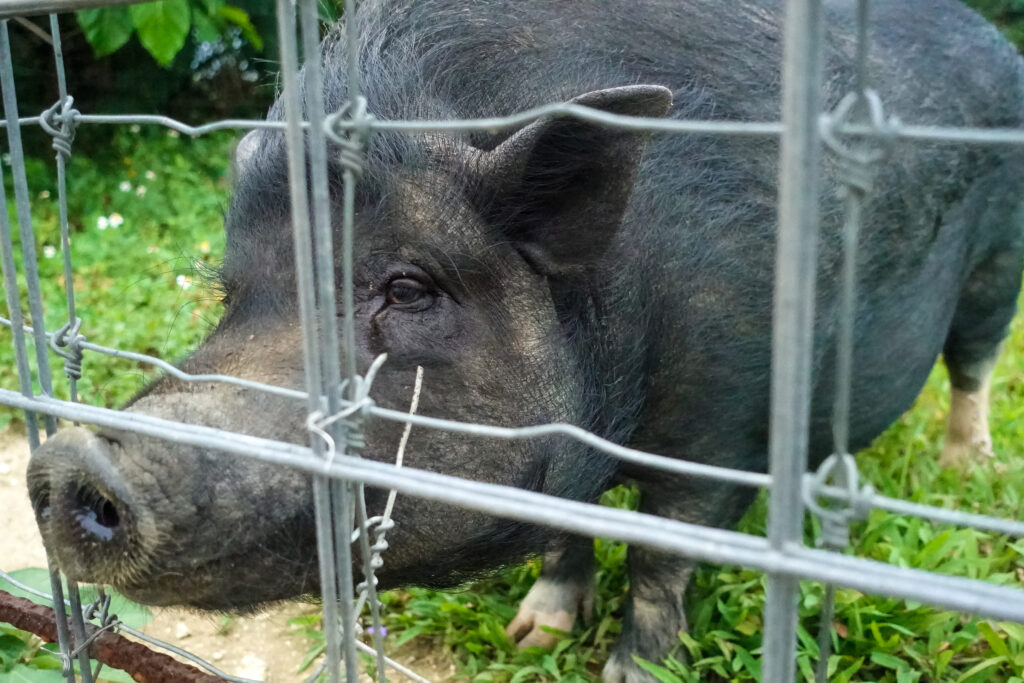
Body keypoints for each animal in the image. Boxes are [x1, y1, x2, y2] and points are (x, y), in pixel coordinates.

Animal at [28, 2, 1024, 679]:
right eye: (233, 294)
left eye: (409, 287)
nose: (71, 456)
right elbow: (566, 530)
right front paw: (534, 630)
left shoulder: (725, 425)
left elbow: (662, 561)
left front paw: (630, 671)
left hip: (998, 267)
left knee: (973, 363)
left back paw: (966, 466)